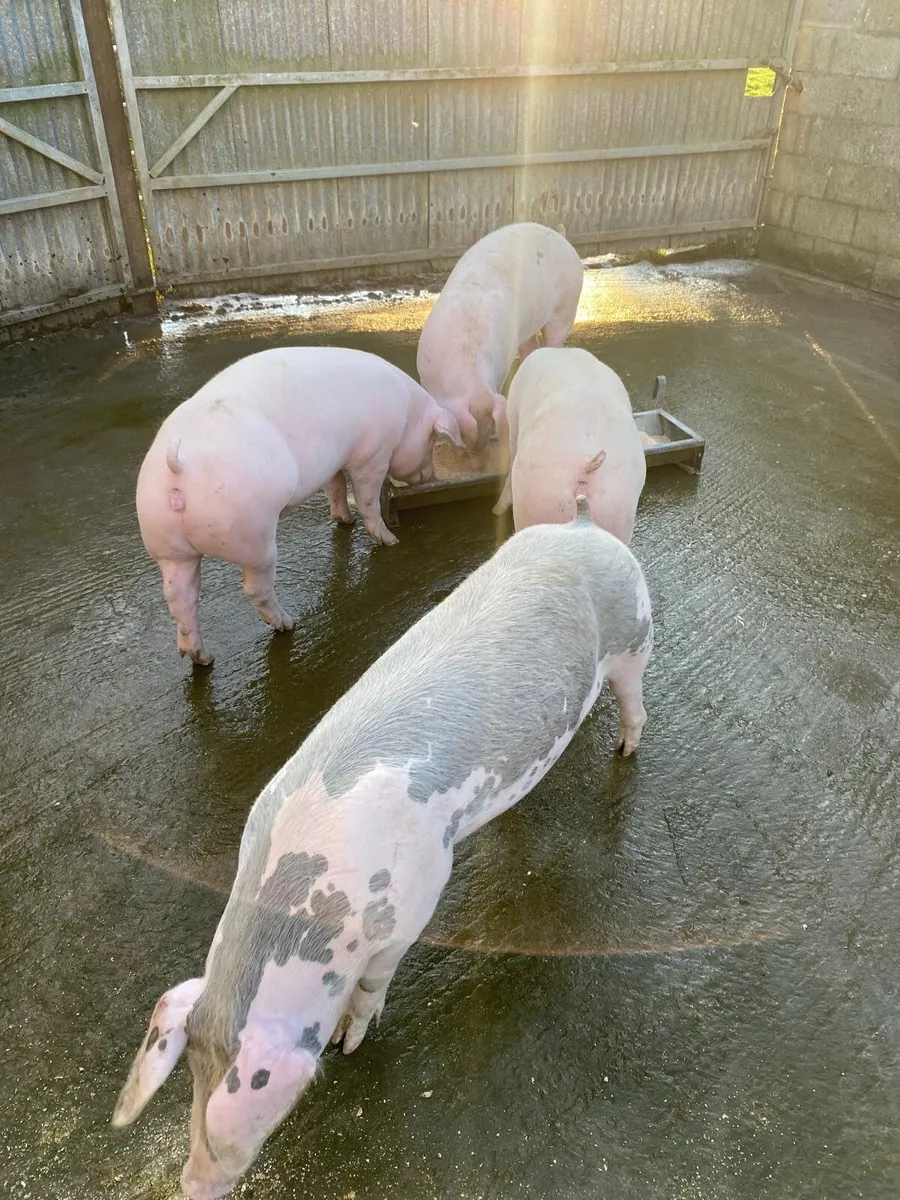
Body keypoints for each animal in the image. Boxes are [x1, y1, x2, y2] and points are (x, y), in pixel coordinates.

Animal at [112, 498, 653, 1199]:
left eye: (250, 1106)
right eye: (192, 1074)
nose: (191, 1184)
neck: (314, 898)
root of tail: (586, 528)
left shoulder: (416, 901)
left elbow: (374, 982)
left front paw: (349, 1043)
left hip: (636, 638)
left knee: (635, 702)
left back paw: (626, 752)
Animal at [136, 346, 463, 666]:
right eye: (432, 441)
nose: (431, 477)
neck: (407, 412)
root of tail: (180, 466)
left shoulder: (334, 461)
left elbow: (335, 487)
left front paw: (345, 521)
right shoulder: (372, 455)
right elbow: (367, 500)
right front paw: (391, 541)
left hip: (167, 544)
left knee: (180, 598)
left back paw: (202, 658)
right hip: (253, 535)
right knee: (255, 588)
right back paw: (288, 625)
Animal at [416, 222, 584, 455]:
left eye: (489, 423)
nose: (477, 452)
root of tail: (561, 236)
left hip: (567, 307)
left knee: (553, 341)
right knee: (532, 345)